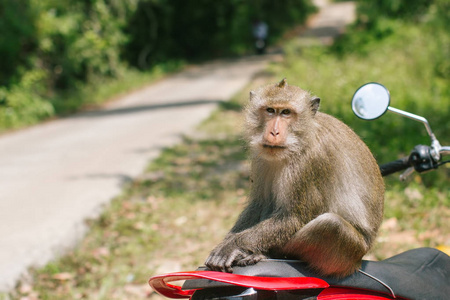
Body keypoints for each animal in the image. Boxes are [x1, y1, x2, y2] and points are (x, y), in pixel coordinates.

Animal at [204, 78, 384, 278]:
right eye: (270, 110)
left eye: (286, 113)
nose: (274, 132)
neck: (298, 141)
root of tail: (360, 260)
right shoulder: (260, 159)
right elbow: (259, 205)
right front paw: (227, 241)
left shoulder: (310, 162)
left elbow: (294, 218)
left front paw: (233, 245)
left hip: (348, 255)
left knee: (330, 225)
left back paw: (267, 253)